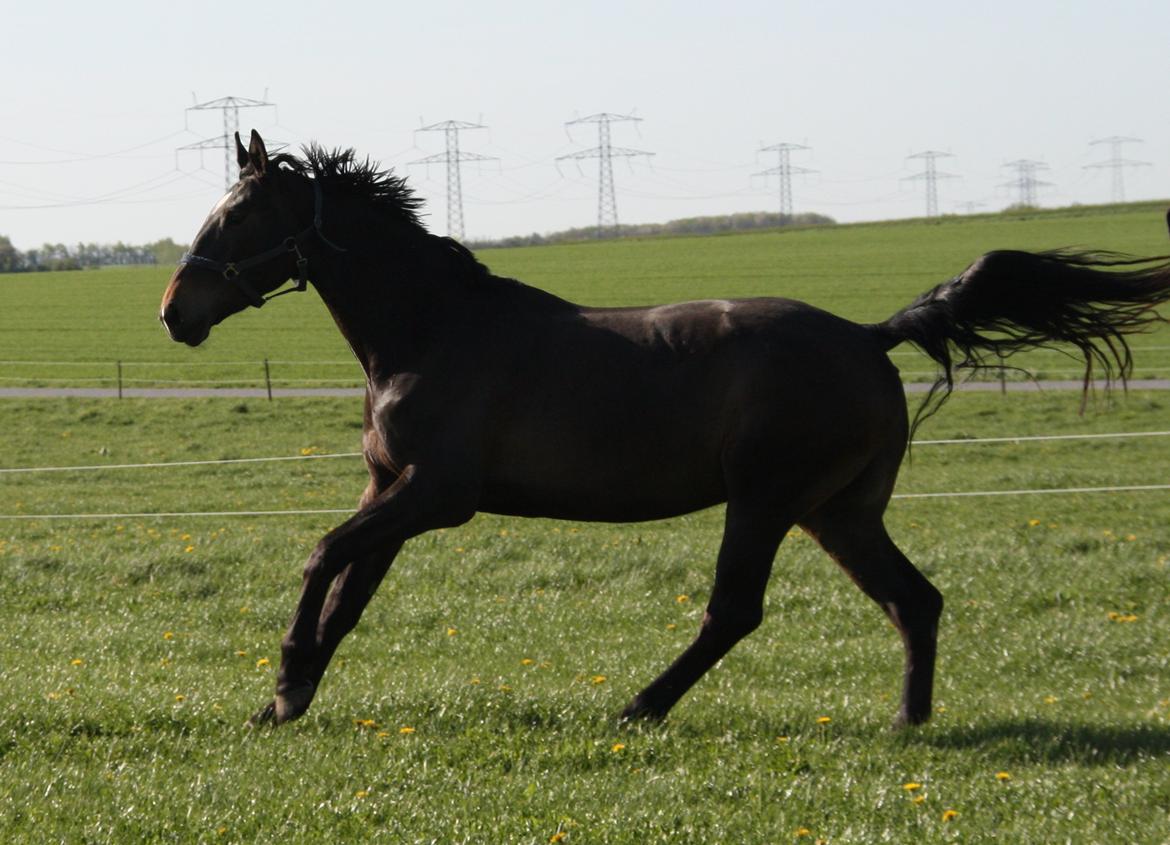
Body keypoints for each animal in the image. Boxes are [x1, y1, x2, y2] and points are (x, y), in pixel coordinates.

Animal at [157, 129, 1170, 725]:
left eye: (239, 214)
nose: (175, 312)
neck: (431, 330)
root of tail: (867, 335)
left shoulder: (437, 495)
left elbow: (321, 556)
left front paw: (286, 681)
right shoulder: (391, 488)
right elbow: (349, 591)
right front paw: (289, 697)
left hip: (766, 500)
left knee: (736, 609)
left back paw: (640, 707)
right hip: (838, 511)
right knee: (914, 600)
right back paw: (906, 724)